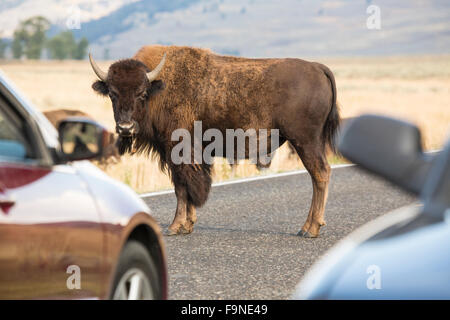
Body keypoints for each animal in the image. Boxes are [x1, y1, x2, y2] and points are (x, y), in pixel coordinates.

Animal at [89, 46, 340, 239]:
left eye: (141, 93)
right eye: (112, 93)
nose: (125, 127)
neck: (159, 88)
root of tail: (318, 68)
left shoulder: (176, 151)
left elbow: (181, 187)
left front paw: (174, 227)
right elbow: (186, 186)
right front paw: (187, 225)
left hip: (305, 141)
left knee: (320, 174)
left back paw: (309, 229)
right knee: (320, 174)